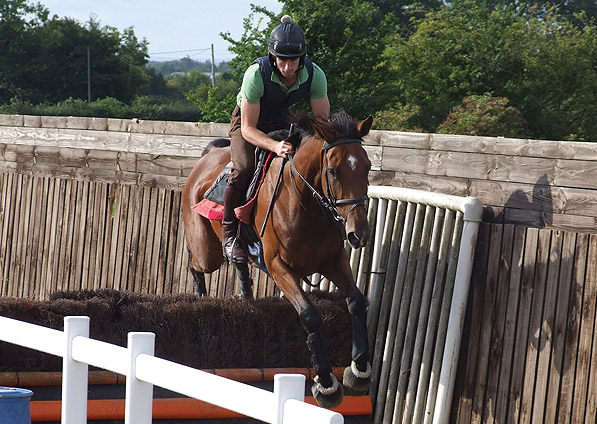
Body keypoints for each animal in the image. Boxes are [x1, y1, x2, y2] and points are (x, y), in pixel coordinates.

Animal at [182, 112, 372, 408]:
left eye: (367, 168)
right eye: (332, 171)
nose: (358, 234)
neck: (309, 206)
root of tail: (207, 157)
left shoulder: (334, 261)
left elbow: (356, 301)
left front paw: (359, 372)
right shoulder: (279, 267)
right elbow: (309, 315)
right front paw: (326, 383)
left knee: (238, 263)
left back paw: (245, 289)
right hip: (206, 251)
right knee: (195, 264)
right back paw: (202, 298)